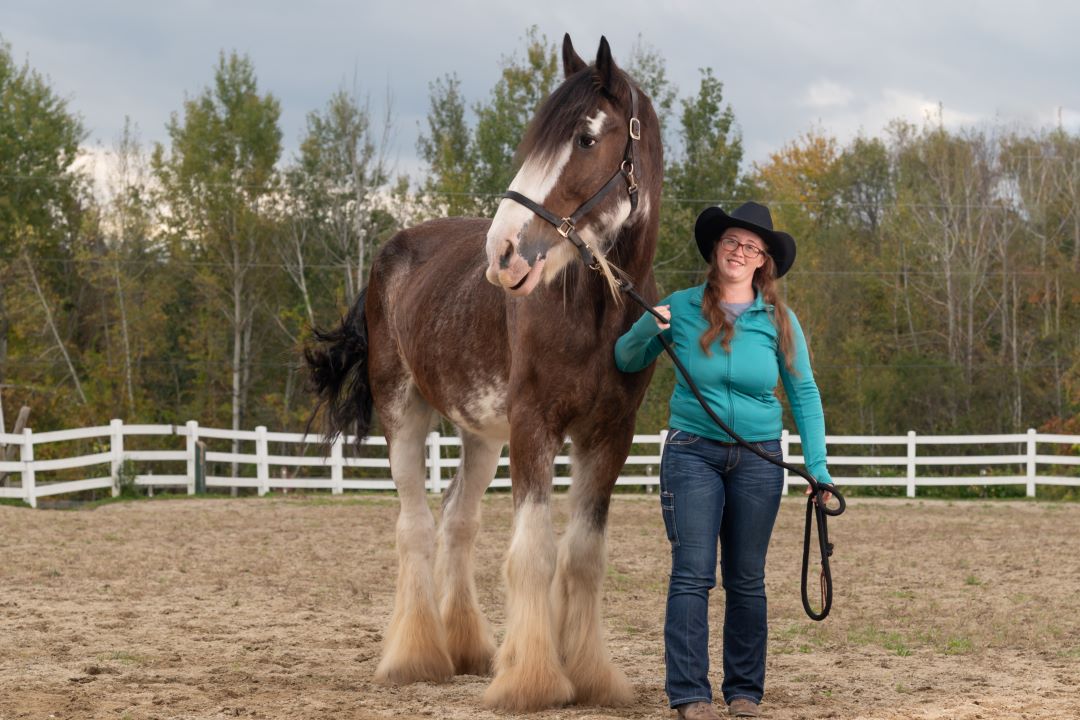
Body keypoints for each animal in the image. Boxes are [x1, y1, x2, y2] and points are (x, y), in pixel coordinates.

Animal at [304, 34, 662, 712]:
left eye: (585, 138)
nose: (503, 253)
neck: (594, 309)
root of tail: (389, 254)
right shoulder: (533, 426)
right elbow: (533, 554)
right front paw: (533, 682)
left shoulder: (609, 435)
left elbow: (583, 555)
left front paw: (591, 676)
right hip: (405, 412)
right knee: (416, 526)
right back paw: (417, 657)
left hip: (479, 435)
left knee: (457, 521)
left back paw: (468, 648)